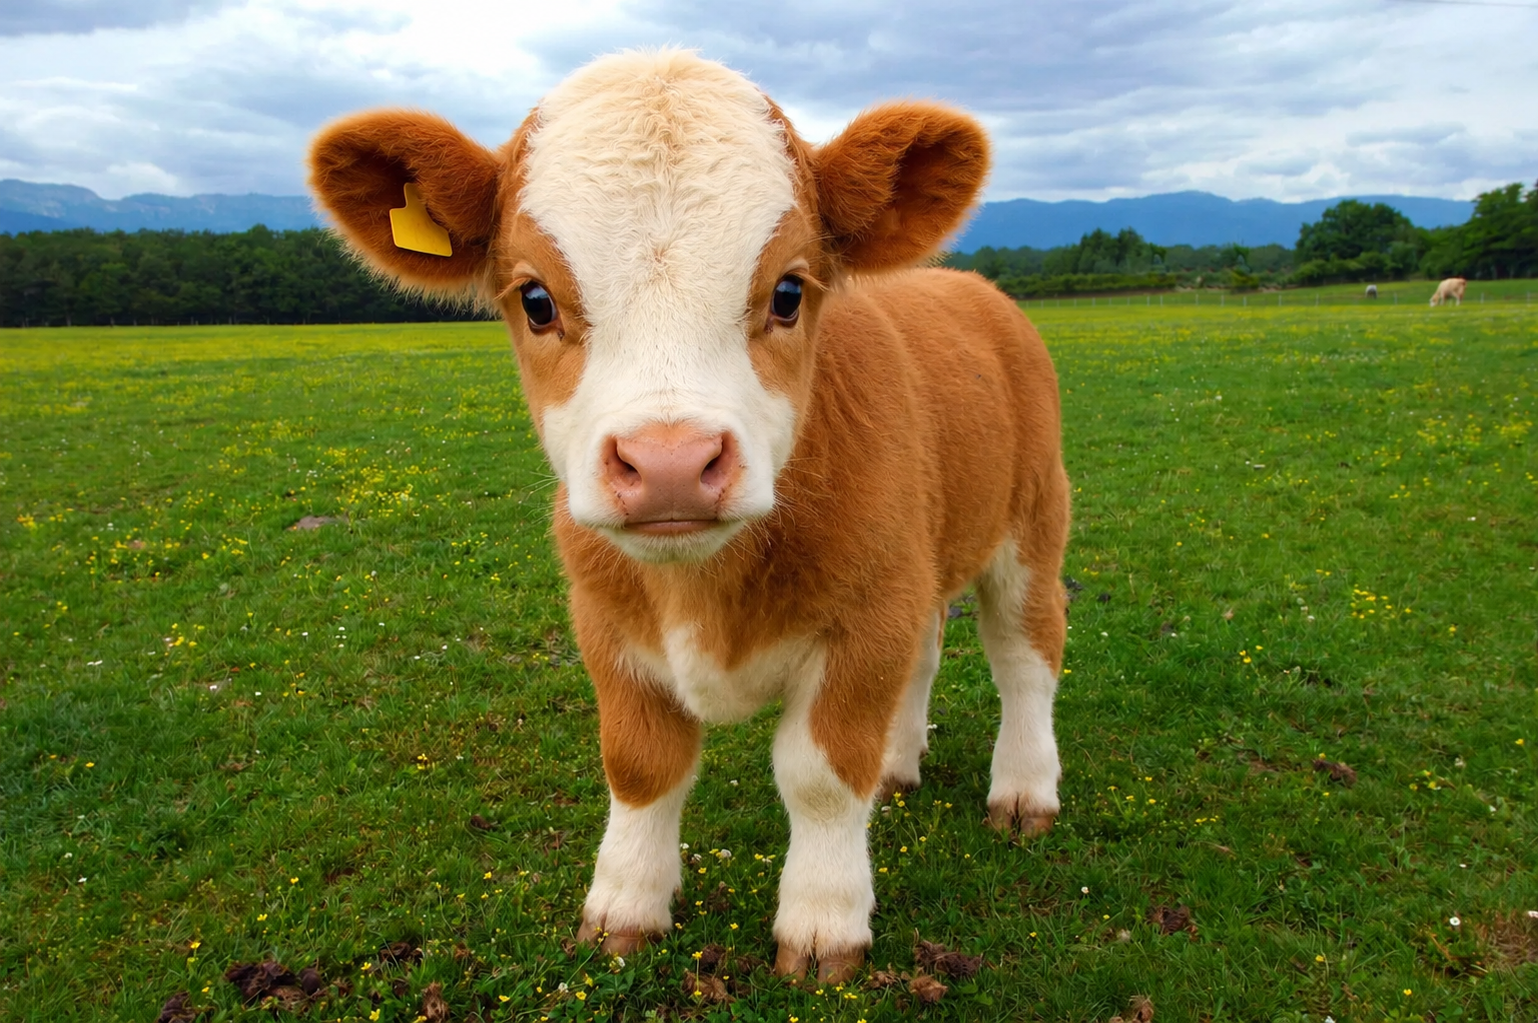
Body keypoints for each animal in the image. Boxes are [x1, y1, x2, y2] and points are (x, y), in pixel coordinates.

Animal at [308, 49, 1070, 984]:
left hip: (1032, 520)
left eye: (789, 290)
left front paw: (824, 922)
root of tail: (970, 286)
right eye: (535, 299)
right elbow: (640, 764)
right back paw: (898, 765)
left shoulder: (867, 616)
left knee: (1025, 653)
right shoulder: (607, 621)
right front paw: (623, 905)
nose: (670, 464)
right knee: (927, 651)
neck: (701, 590)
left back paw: (1024, 788)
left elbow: (821, 774)